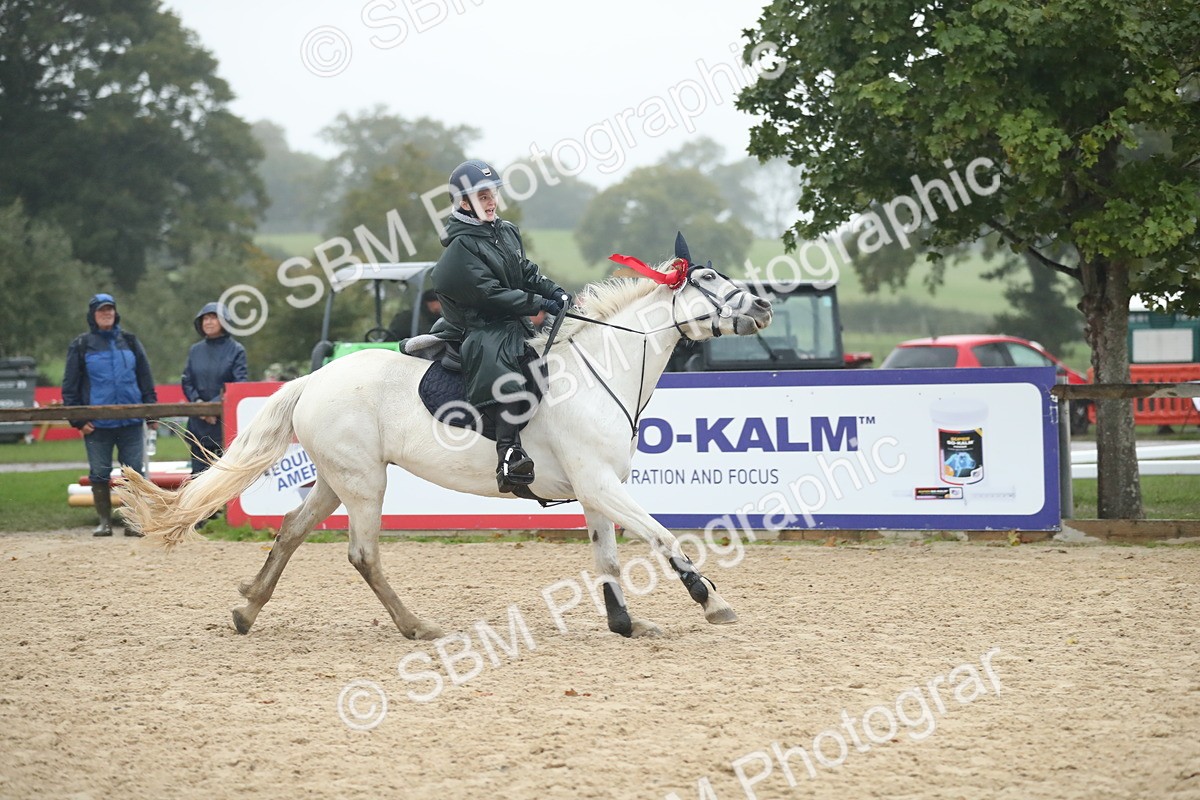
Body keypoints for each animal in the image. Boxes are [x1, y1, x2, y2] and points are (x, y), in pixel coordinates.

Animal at [116, 237, 773, 639]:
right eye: (707, 277)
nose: (765, 304)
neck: (600, 370)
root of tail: (314, 379)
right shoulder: (601, 484)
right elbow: (662, 536)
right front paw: (711, 601)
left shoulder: (596, 490)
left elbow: (608, 557)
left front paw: (625, 624)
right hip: (365, 483)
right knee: (363, 554)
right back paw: (418, 626)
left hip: (336, 479)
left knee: (292, 531)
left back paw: (248, 606)